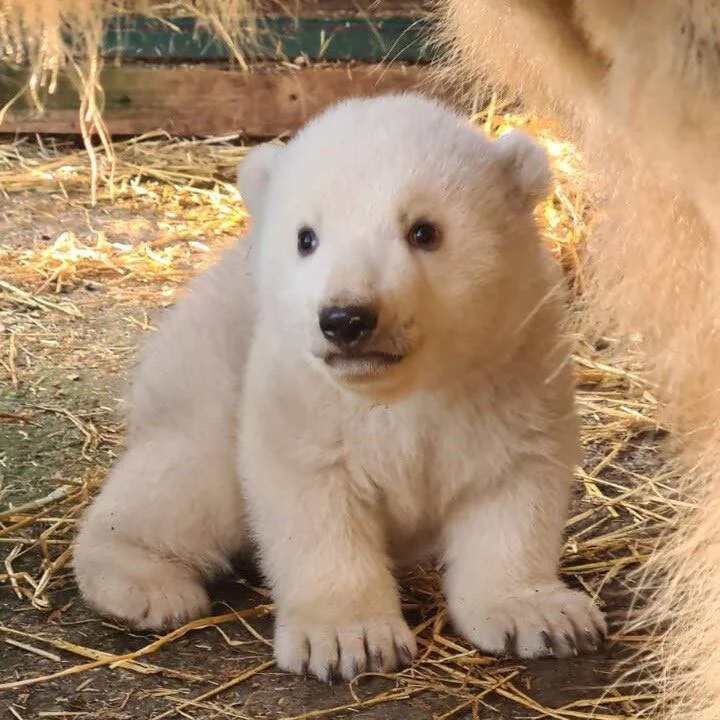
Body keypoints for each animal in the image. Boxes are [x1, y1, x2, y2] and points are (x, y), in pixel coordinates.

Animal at [72, 92, 606, 681]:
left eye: (424, 230)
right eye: (306, 238)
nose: (347, 319)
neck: (397, 390)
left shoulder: (512, 364)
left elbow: (514, 480)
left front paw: (543, 615)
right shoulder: (299, 392)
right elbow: (312, 497)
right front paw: (350, 638)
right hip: (204, 381)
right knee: (188, 482)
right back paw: (147, 588)